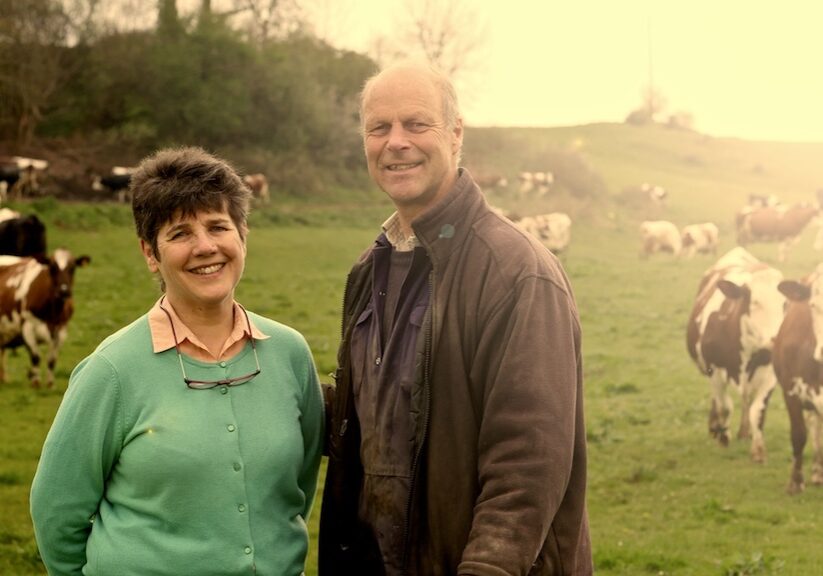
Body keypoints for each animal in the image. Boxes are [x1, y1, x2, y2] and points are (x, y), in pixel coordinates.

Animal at [0, 248, 91, 388]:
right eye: (52, 267)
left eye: (73, 268)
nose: (64, 291)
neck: (53, 314)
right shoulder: (28, 327)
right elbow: (35, 357)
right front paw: (36, 382)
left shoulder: (61, 330)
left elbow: (52, 360)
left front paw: (50, 383)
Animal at [688, 248, 784, 464]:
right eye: (754, 302)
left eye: (786, 304)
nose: (777, 339)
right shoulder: (715, 369)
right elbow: (725, 406)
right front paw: (723, 437)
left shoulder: (770, 374)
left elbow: (757, 410)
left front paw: (758, 450)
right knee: (718, 400)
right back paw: (716, 428)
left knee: (747, 400)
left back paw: (744, 432)